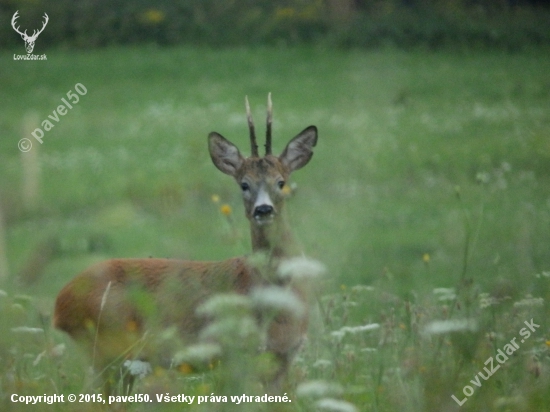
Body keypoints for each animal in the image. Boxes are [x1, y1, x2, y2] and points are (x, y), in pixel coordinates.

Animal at [52, 94, 320, 392]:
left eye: (281, 182)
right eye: (244, 184)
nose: (263, 209)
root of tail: (59, 304)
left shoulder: (282, 358)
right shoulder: (237, 355)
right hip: (106, 350)